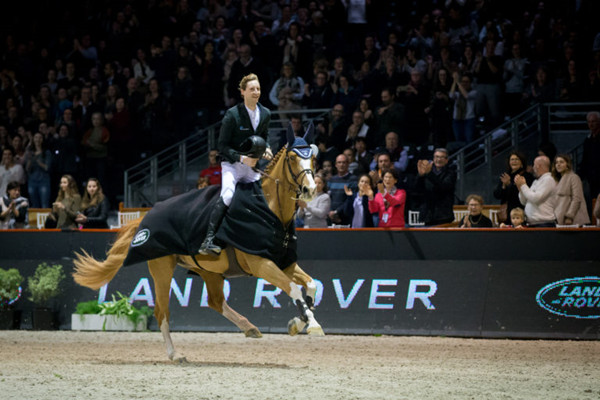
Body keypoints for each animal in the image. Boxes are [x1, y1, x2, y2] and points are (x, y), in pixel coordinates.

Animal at [73, 125, 326, 362]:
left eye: (313, 158)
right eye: (292, 158)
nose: (310, 190)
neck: (271, 209)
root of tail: (146, 216)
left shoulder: (284, 263)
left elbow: (310, 284)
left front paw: (301, 320)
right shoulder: (261, 264)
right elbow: (294, 288)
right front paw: (310, 324)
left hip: (208, 271)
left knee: (215, 301)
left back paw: (249, 328)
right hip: (162, 269)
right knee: (162, 312)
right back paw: (175, 355)